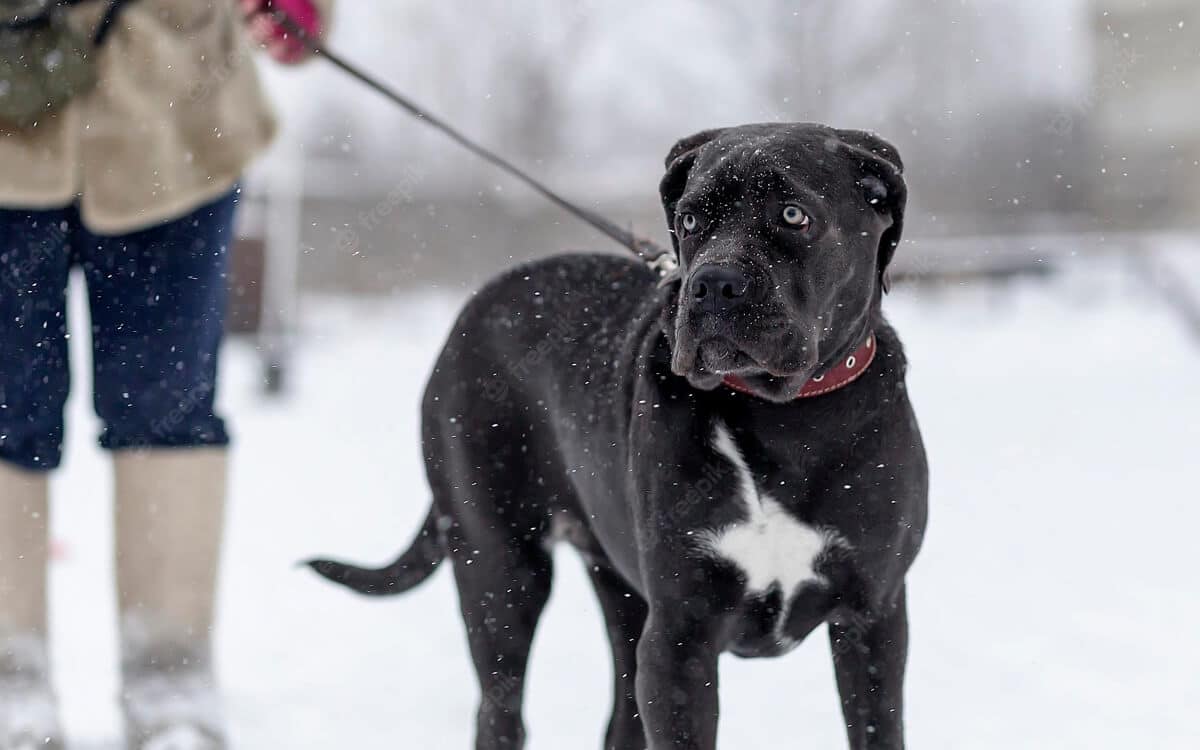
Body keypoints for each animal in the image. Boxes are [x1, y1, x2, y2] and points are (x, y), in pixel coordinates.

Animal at [309, 123, 926, 748]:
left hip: (620, 594)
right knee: (501, 707)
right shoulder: (679, 638)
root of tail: (475, 309)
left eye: (794, 215)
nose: (712, 284)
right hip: (499, 570)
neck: (785, 418)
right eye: (690, 219)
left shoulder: (874, 620)